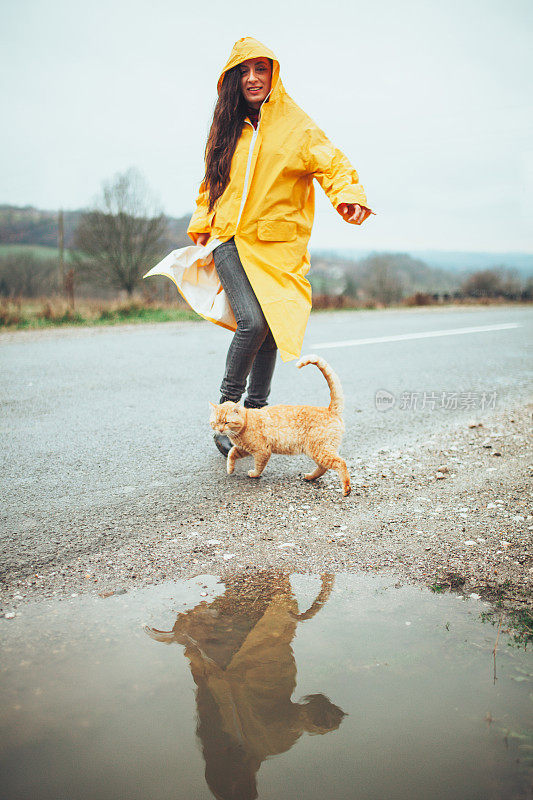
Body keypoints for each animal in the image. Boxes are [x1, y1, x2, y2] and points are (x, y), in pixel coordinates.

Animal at [207, 354, 350, 494]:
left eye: (226, 422)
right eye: (216, 422)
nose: (220, 430)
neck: (244, 425)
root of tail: (330, 410)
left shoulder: (262, 451)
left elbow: (259, 466)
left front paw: (254, 474)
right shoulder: (243, 448)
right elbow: (231, 453)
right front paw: (230, 469)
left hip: (319, 450)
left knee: (340, 463)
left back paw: (346, 489)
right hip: (316, 451)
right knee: (323, 467)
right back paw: (310, 477)